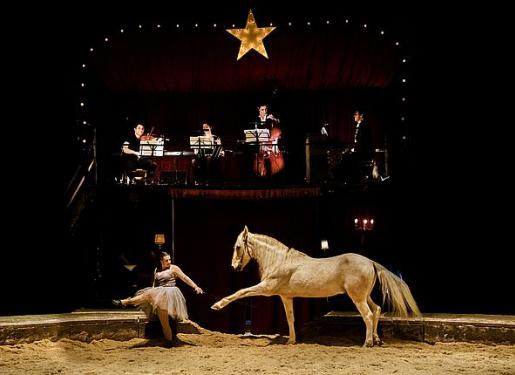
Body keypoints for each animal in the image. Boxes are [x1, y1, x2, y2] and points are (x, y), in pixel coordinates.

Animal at [212, 226, 422, 346]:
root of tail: (370, 261)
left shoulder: (266, 289)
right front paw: (292, 340)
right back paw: (377, 340)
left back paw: (368, 343)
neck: (280, 261)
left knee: (368, 315)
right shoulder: (285, 297)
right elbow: (290, 318)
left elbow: (241, 291)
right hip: (365, 296)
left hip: (357, 297)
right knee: (377, 310)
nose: (234, 266)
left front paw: (217, 305)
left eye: (238, 247)